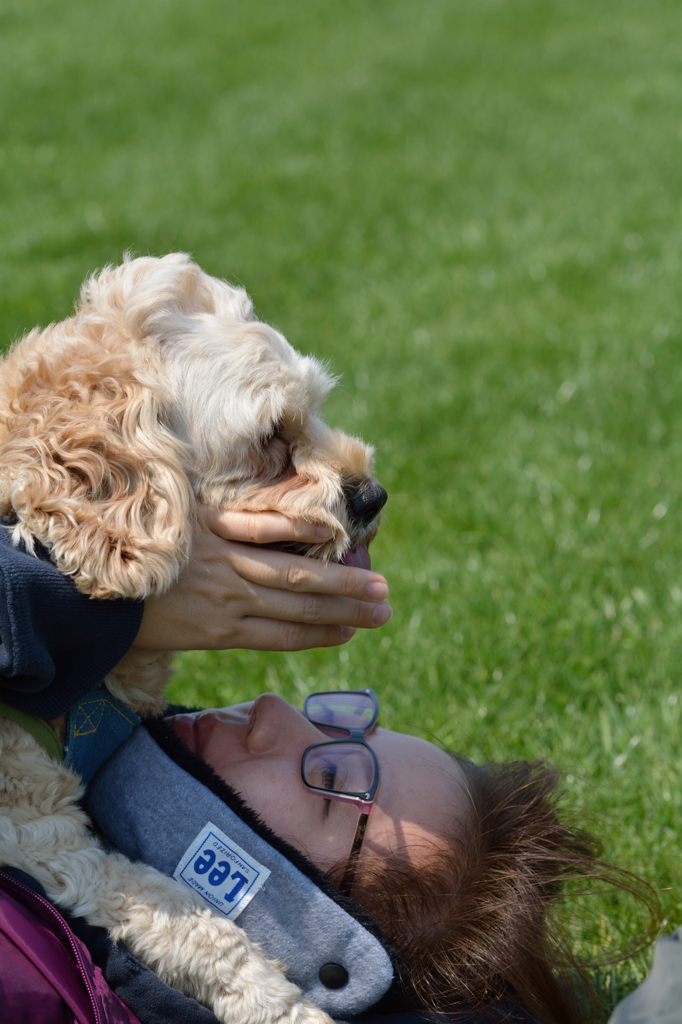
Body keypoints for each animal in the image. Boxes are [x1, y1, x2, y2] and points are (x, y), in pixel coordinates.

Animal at [0, 251, 385, 1019]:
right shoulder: (39, 834)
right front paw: (281, 1005)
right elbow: (195, 925)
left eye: (315, 409)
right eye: (271, 440)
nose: (371, 496)